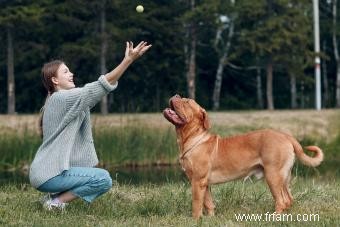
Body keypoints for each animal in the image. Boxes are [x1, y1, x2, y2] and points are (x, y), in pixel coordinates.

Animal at [163, 94, 322, 218]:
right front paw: (209, 218)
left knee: (281, 201)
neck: (193, 138)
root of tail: (286, 136)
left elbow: (196, 204)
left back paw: (274, 216)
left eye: (186, 102)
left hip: (273, 176)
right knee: (289, 199)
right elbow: (208, 203)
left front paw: (195, 219)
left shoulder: (197, 181)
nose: (176, 94)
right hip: (284, 177)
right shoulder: (204, 184)